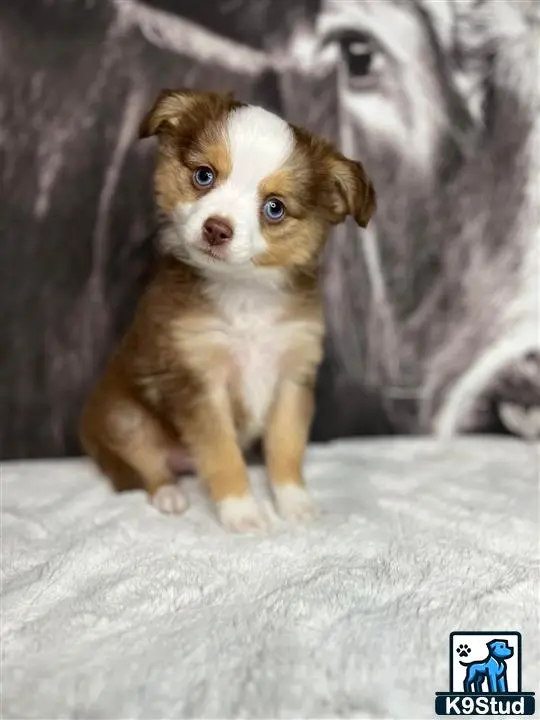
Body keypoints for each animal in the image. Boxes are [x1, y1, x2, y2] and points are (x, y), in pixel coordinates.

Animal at [79, 88, 376, 528]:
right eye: (204, 176)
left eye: (274, 208)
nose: (216, 229)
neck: (244, 293)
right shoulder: (198, 383)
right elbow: (221, 453)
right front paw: (242, 511)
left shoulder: (292, 376)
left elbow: (286, 446)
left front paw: (293, 501)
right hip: (124, 417)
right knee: (148, 465)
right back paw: (169, 494)